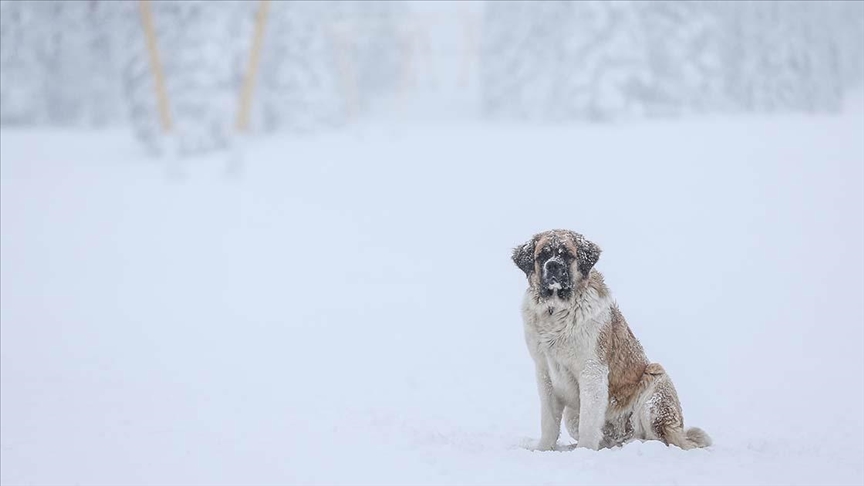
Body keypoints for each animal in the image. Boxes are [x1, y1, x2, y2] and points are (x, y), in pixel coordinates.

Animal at [512, 230, 708, 450]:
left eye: (567, 255)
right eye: (542, 256)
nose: (553, 265)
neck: (555, 311)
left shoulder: (592, 371)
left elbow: (588, 422)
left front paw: (583, 451)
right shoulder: (544, 372)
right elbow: (549, 422)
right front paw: (543, 449)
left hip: (657, 382)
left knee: (662, 439)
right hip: (572, 414)